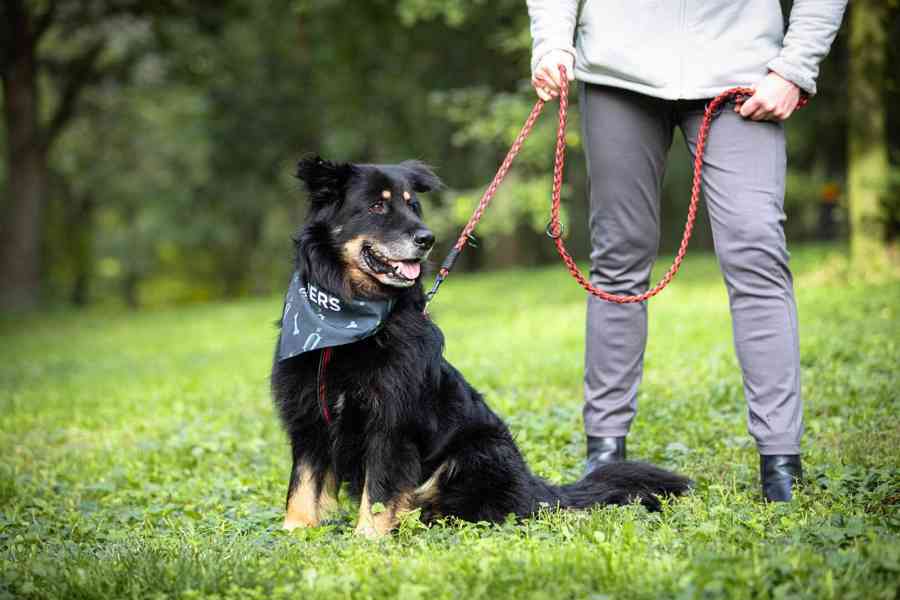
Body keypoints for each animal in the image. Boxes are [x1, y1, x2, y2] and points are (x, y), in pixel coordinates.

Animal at [270, 156, 692, 540]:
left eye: (412, 205)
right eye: (377, 206)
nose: (427, 239)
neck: (343, 322)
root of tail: (536, 488)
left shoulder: (389, 421)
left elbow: (378, 491)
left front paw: (367, 538)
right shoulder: (307, 418)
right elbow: (301, 485)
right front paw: (294, 531)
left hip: (478, 450)